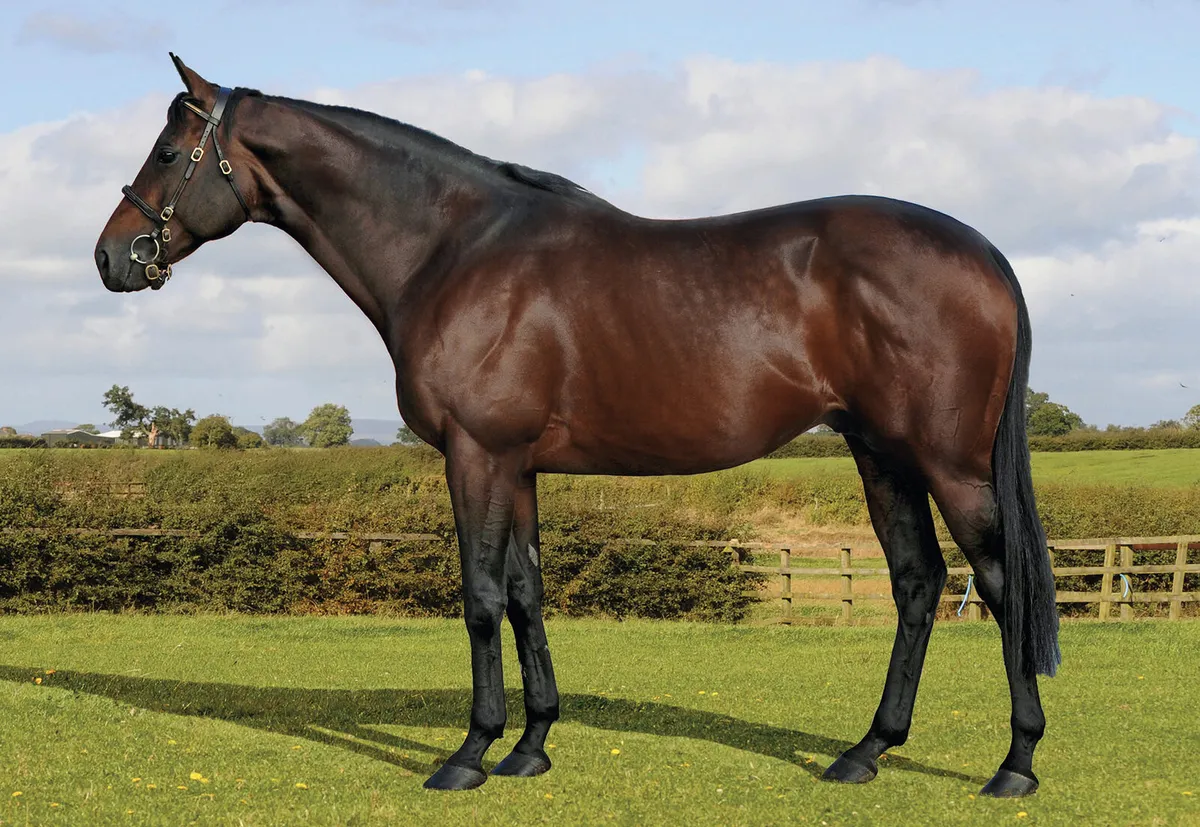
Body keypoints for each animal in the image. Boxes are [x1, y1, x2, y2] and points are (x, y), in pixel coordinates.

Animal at [94, 55, 1060, 797]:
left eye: (171, 149)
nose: (111, 257)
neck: (454, 249)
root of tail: (985, 253)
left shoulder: (476, 456)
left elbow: (482, 596)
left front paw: (469, 753)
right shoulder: (516, 465)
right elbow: (526, 591)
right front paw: (531, 745)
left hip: (948, 462)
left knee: (998, 581)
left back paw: (1014, 765)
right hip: (881, 454)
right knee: (917, 581)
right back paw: (865, 751)